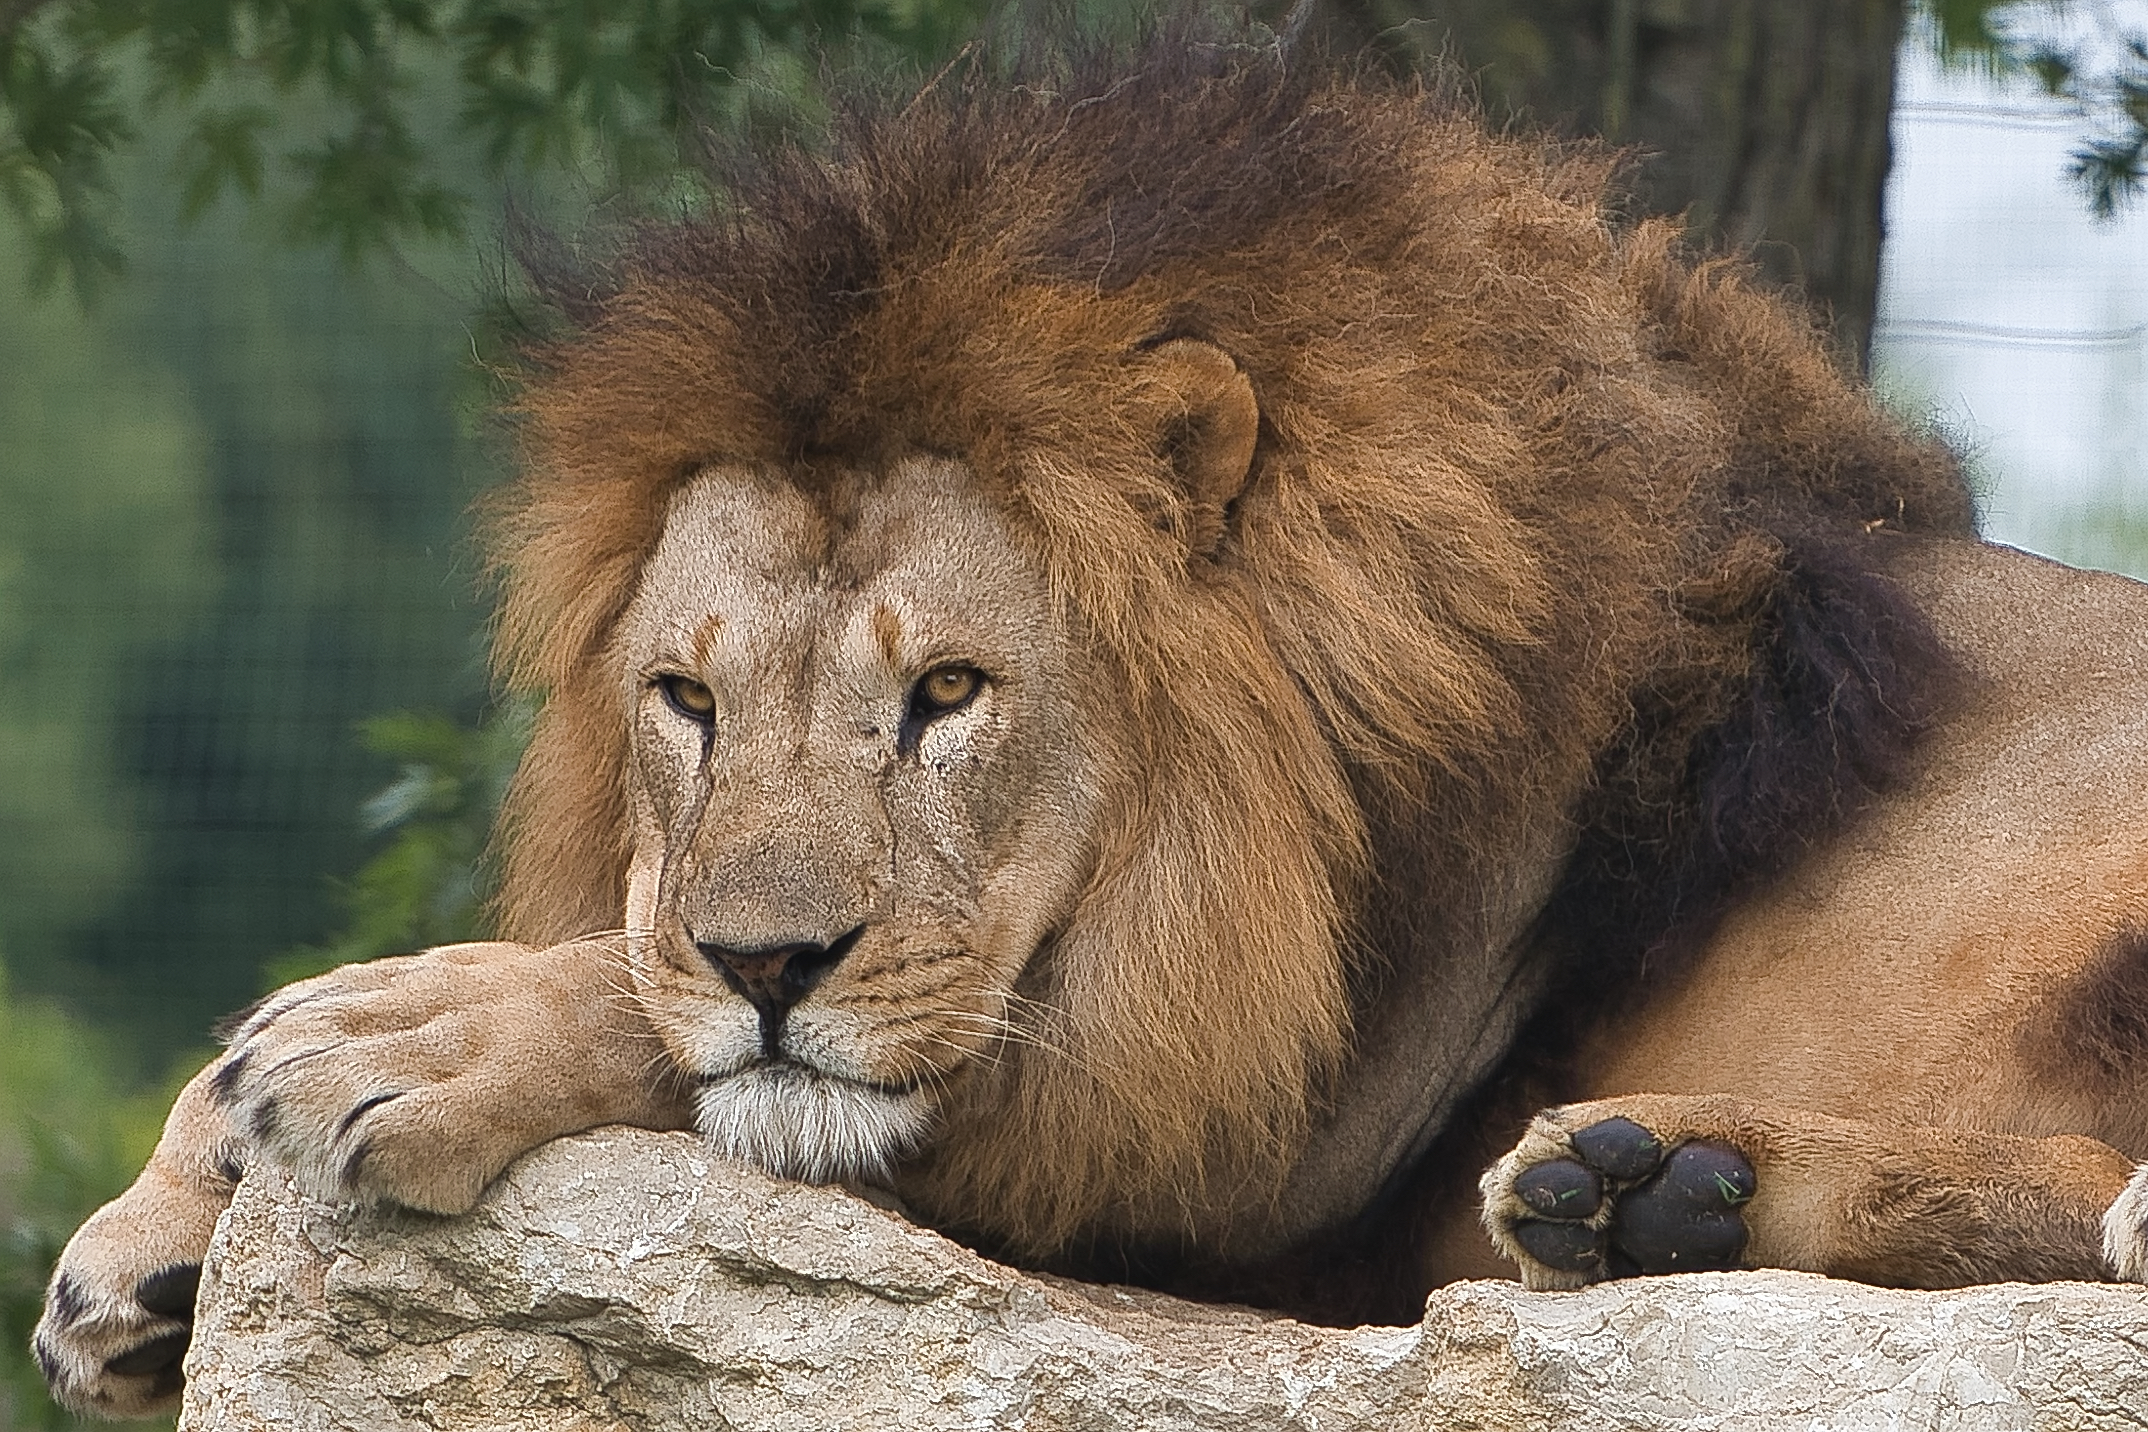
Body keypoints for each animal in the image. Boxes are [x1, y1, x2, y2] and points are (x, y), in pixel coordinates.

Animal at [36, 24, 2148, 1419]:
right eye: (687, 698)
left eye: (948, 692)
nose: (770, 957)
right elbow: (656, 982)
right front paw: (157, 1229)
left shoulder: (1249, 1144)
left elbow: (692, 1029)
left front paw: (402, 1030)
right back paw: (1655, 1196)